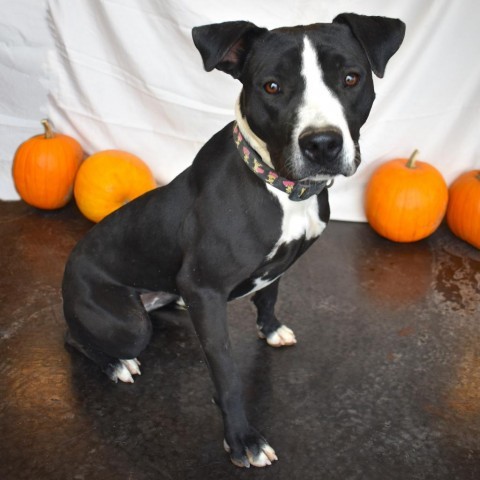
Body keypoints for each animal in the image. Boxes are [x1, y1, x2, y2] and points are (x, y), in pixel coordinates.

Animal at [61, 14, 404, 468]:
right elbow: (226, 374)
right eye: (271, 86)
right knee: (78, 337)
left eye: (351, 78)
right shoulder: (205, 289)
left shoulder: (275, 267)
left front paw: (271, 330)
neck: (279, 187)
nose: (322, 144)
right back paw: (116, 364)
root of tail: (68, 269)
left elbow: (268, 297)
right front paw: (242, 440)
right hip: (124, 324)